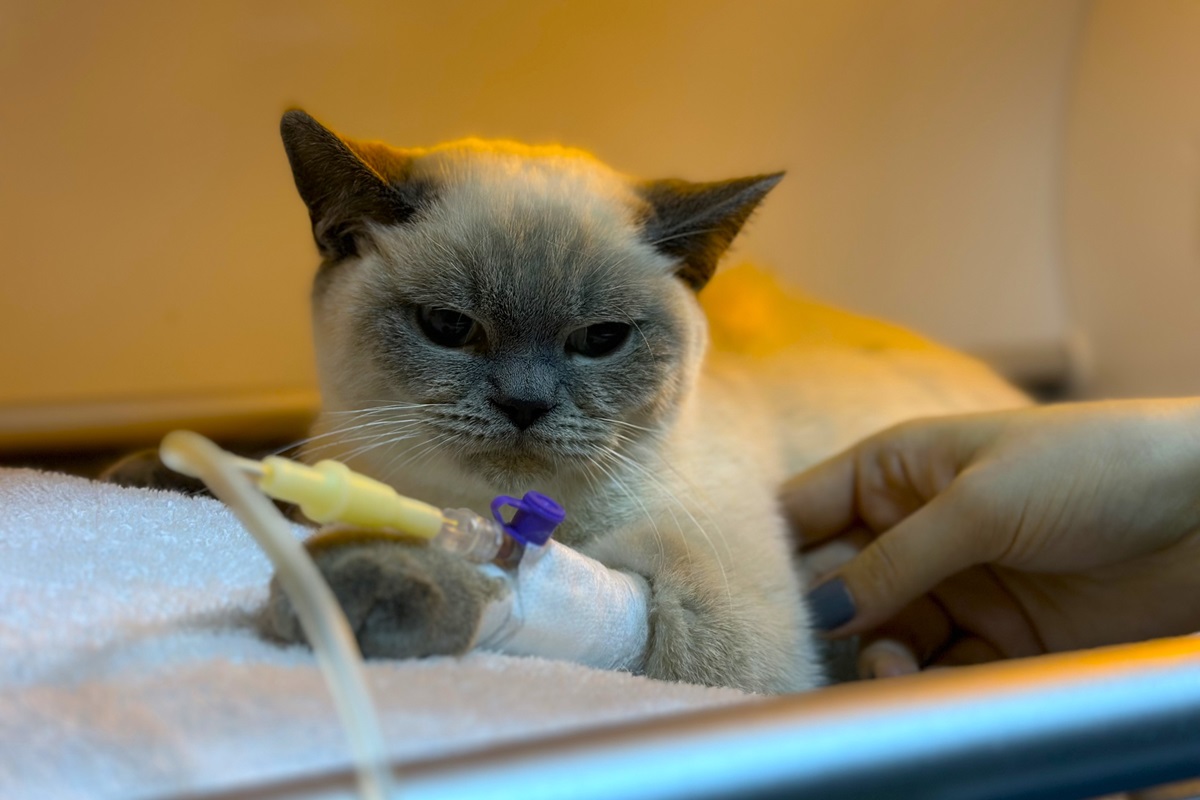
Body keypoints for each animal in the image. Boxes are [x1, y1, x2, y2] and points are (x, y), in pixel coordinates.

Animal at [258, 110, 1027, 695]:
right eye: (448, 326)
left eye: (601, 339)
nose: (524, 404)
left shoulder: (723, 621)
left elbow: (548, 576)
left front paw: (353, 583)